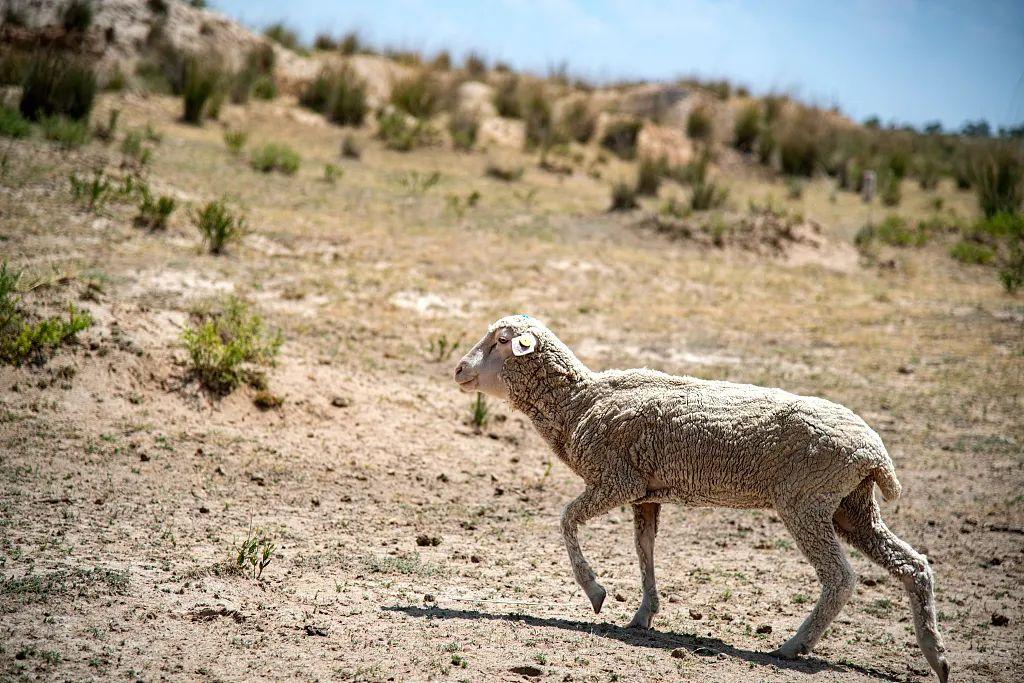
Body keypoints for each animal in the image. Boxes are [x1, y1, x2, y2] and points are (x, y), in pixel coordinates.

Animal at [456, 317, 950, 683]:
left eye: (501, 341)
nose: (458, 370)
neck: (580, 403)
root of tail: (876, 454)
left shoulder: (617, 481)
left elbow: (566, 520)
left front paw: (596, 592)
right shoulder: (645, 494)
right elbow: (645, 550)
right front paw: (643, 615)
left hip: (806, 502)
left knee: (841, 578)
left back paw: (793, 647)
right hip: (852, 507)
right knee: (913, 565)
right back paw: (937, 657)